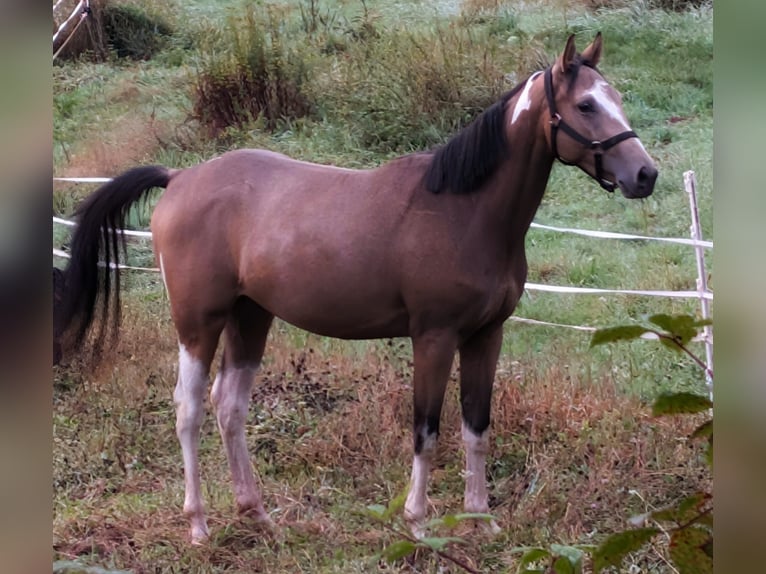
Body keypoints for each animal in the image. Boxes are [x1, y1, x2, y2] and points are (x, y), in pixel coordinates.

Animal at [57, 33, 657, 544]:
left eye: (618, 97)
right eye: (587, 106)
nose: (646, 175)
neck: (465, 210)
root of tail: (179, 178)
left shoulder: (487, 336)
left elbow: (476, 429)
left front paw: (480, 521)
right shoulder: (434, 338)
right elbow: (426, 431)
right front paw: (418, 523)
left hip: (251, 316)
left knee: (230, 406)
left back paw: (257, 514)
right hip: (197, 322)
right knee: (188, 409)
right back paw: (199, 526)